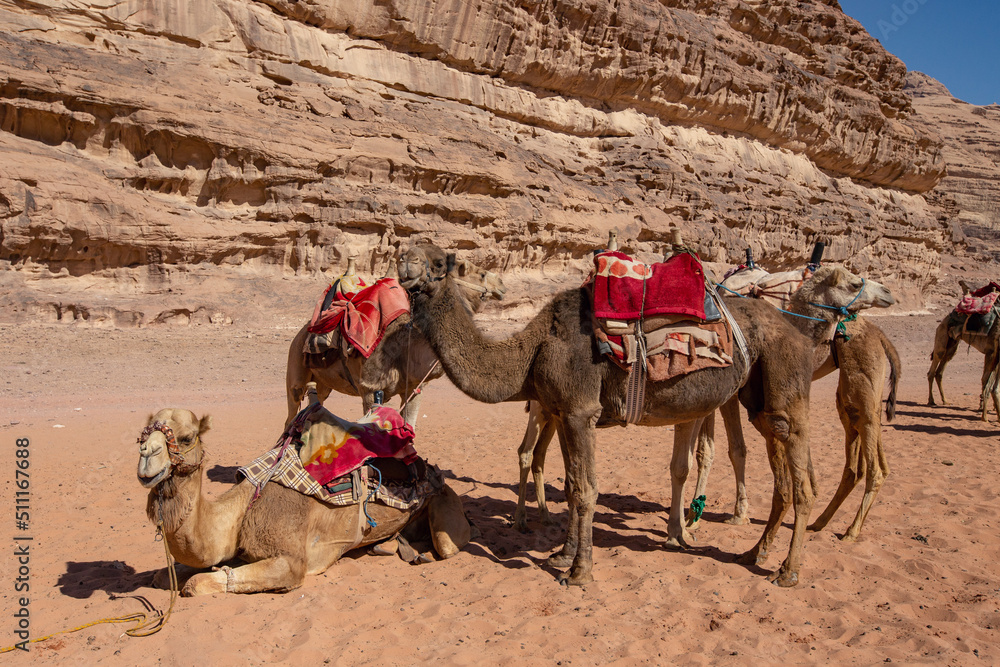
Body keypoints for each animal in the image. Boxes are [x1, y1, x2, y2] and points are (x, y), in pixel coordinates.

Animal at [137, 407, 470, 595]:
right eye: (141, 436)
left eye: (186, 438)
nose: (147, 458)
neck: (244, 507)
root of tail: (431, 468)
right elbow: (163, 575)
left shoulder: (290, 560)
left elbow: (196, 583)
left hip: (446, 510)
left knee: (448, 547)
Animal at [285, 244, 506, 427]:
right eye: (482, 274)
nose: (502, 285)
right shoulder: (369, 390)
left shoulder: (415, 388)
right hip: (295, 368)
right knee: (291, 413)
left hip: (322, 383)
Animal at [412, 260, 890, 586]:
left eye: (431, 266)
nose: (411, 281)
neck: (532, 348)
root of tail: (795, 333)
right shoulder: (565, 411)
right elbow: (574, 485)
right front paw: (563, 556)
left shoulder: (580, 411)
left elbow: (586, 490)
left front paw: (579, 572)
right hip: (760, 403)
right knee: (785, 479)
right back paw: (754, 552)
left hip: (786, 393)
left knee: (803, 480)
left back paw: (788, 571)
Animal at [926, 281, 1000, 421]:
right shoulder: (991, 353)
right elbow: (985, 380)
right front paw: (984, 411)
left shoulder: (990, 354)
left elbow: (984, 379)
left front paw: (985, 408)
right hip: (941, 339)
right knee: (932, 370)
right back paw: (931, 401)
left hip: (953, 345)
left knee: (940, 372)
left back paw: (945, 400)